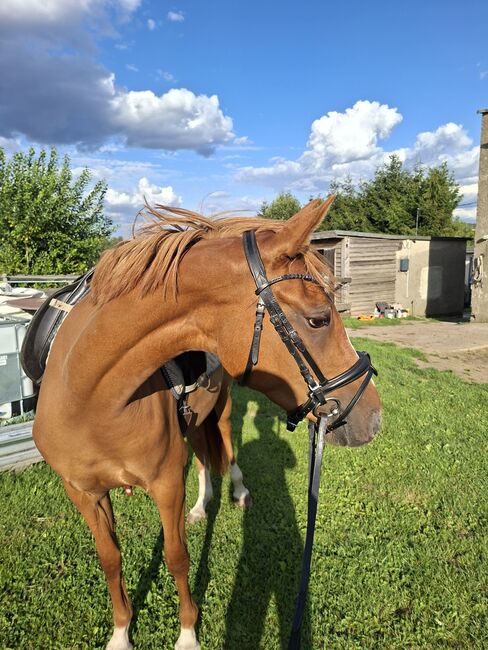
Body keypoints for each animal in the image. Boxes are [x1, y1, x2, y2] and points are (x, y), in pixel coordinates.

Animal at [32, 198, 381, 650]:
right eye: (319, 319)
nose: (373, 416)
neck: (92, 398)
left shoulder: (165, 484)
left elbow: (177, 557)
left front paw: (186, 635)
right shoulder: (82, 492)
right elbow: (110, 559)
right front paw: (122, 631)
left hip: (223, 411)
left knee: (227, 451)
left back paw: (237, 492)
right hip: (196, 420)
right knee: (201, 457)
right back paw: (201, 506)